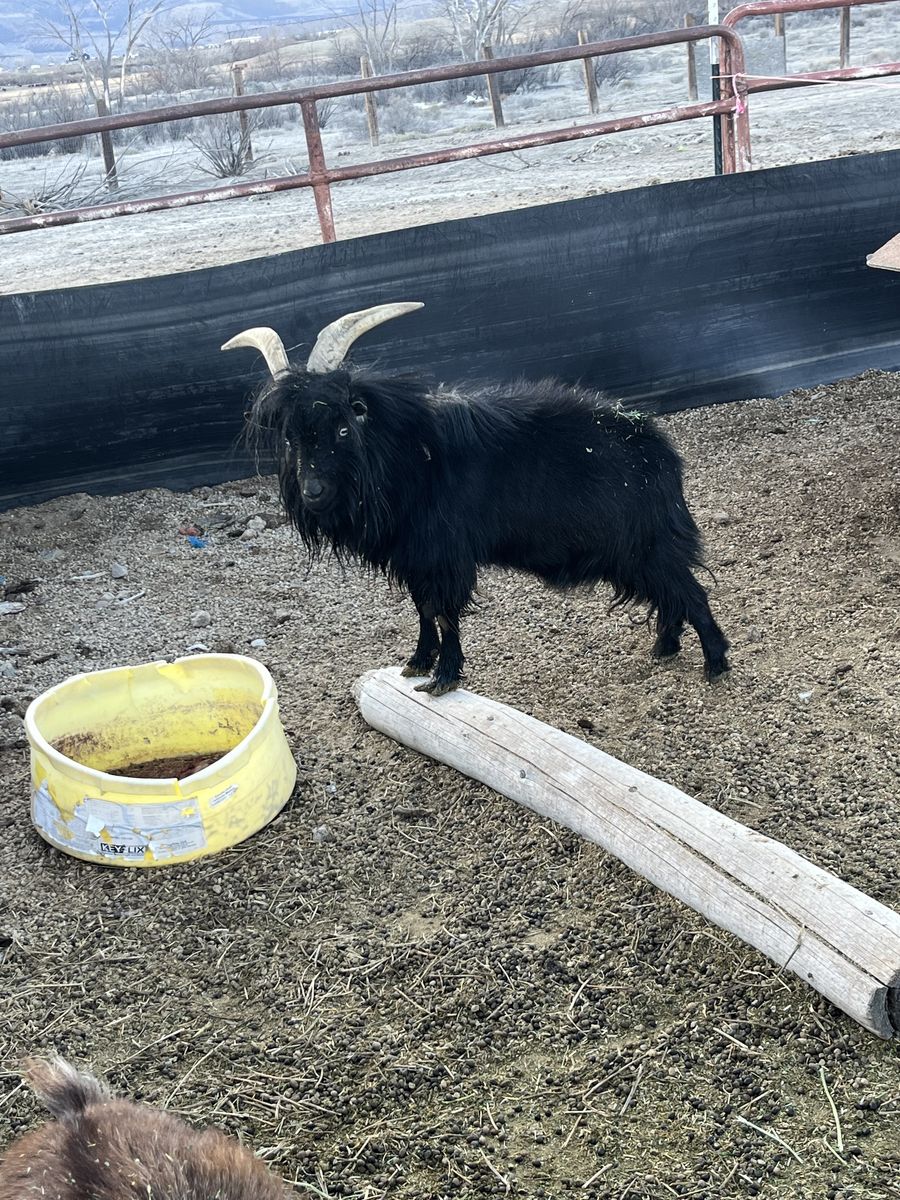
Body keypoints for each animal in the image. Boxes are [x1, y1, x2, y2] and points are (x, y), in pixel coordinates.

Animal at [223, 304, 730, 694]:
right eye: (289, 436)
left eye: (343, 428)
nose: (313, 493)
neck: (410, 456)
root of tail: (662, 451)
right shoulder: (417, 558)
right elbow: (424, 612)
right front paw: (416, 663)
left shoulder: (445, 556)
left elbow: (445, 614)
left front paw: (443, 679)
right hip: (631, 552)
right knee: (669, 594)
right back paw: (665, 648)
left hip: (648, 542)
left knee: (690, 591)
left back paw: (717, 664)